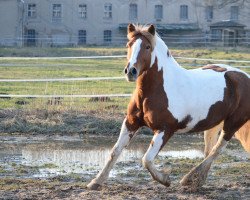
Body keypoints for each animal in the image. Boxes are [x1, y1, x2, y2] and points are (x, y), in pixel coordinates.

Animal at [87, 24, 249, 190]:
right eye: (128, 45)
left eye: (147, 47)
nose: (131, 71)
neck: (155, 90)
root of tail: (245, 77)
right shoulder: (131, 123)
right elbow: (115, 151)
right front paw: (96, 182)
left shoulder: (165, 129)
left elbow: (147, 159)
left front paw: (165, 180)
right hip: (213, 124)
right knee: (209, 151)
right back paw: (197, 181)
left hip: (232, 124)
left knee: (218, 149)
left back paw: (189, 179)